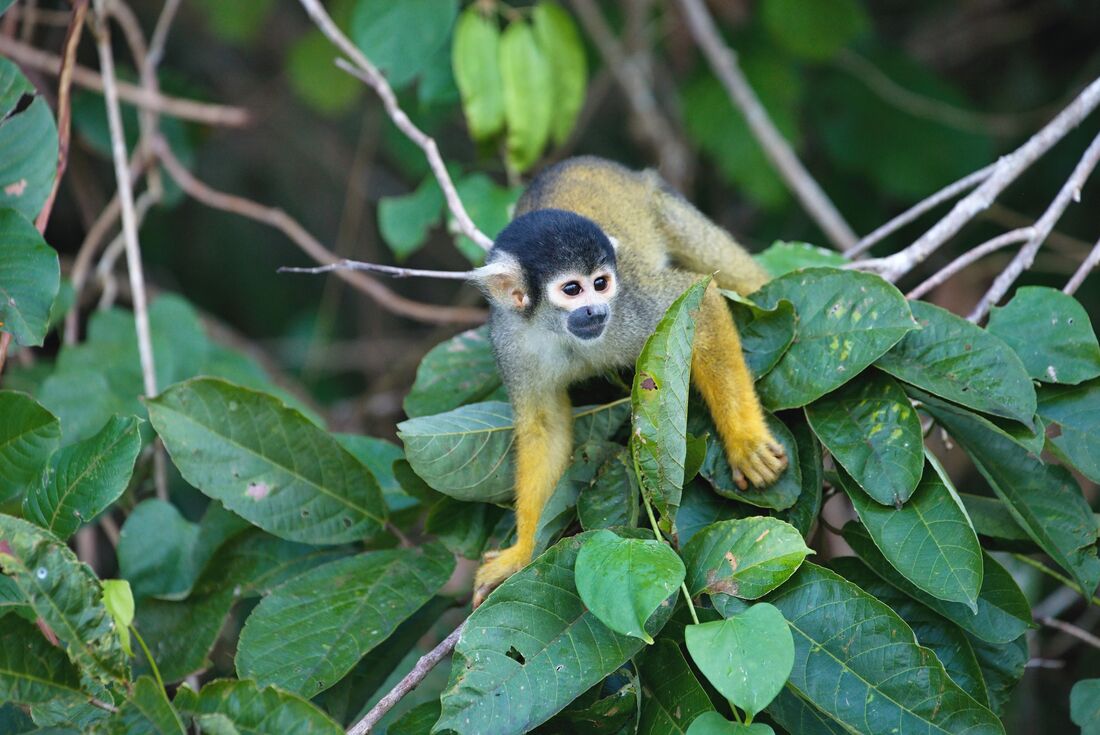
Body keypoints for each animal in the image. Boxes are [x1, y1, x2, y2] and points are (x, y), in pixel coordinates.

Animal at [468, 155, 787, 602]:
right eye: (572, 289)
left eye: (601, 284)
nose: (597, 311)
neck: (561, 332)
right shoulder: (511, 342)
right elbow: (544, 429)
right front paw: (522, 552)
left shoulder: (630, 304)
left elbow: (699, 297)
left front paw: (746, 443)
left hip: (661, 202)